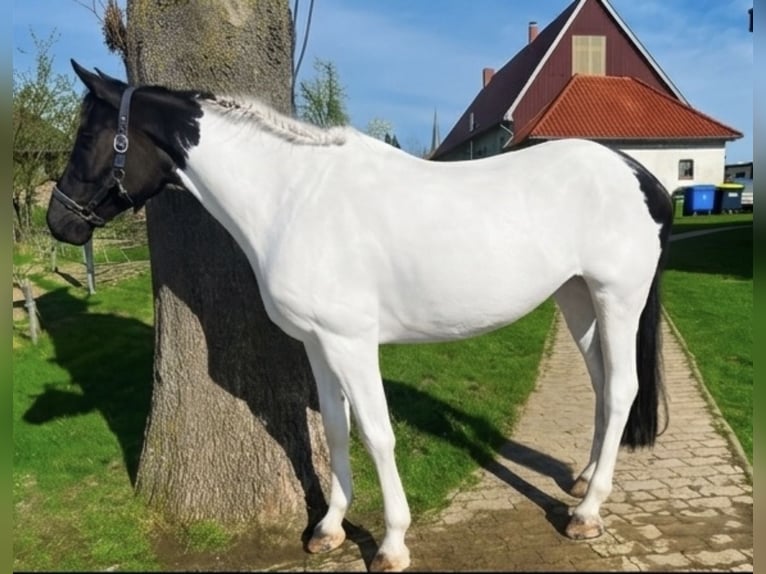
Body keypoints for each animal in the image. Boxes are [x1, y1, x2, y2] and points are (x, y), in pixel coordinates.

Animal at [47, 60, 672, 572]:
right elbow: (335, 427)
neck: (292, 199)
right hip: (577, 298)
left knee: (622, 388)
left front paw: (392, 544)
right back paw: (584, 479)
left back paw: (586, 513)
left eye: (87, 136)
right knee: (600, 384)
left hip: (618, 297)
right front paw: (327, 529)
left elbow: (376, 433)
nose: (59, 222)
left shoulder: (350, 342)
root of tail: (642, 175)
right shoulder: (317, 343)